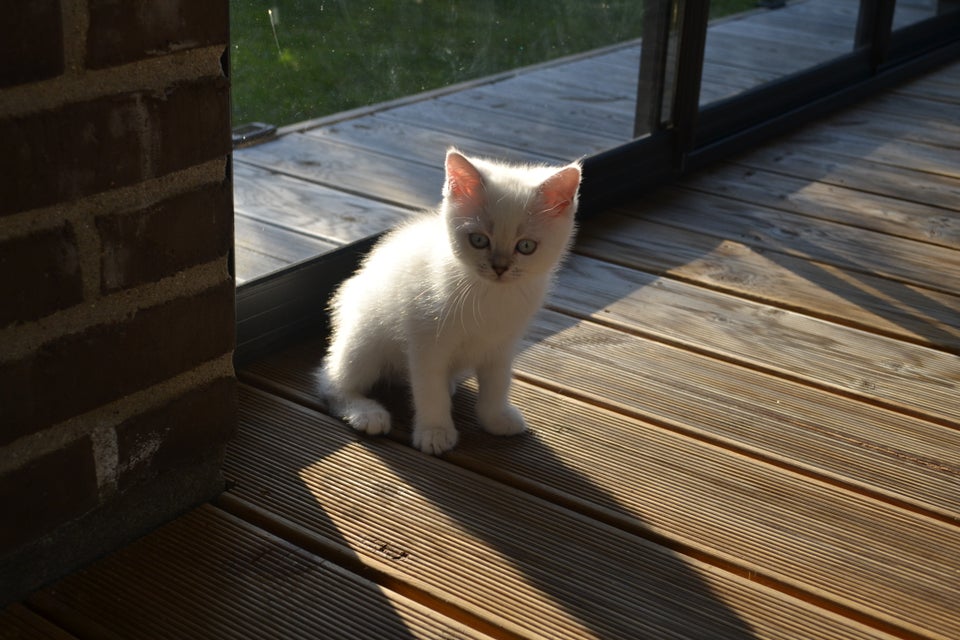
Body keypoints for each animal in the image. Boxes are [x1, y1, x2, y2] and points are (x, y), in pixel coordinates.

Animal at [318, 148, 580, 456]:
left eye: (526, 246)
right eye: (478, 240)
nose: (500, 268)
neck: (489, 294)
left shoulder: (502, 345)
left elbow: (497, 384)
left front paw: (496, 418)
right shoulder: (426, 343)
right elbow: (430, 391)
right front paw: (435, 432)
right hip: (365, 341)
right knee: (330, 382)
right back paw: (365, 412)